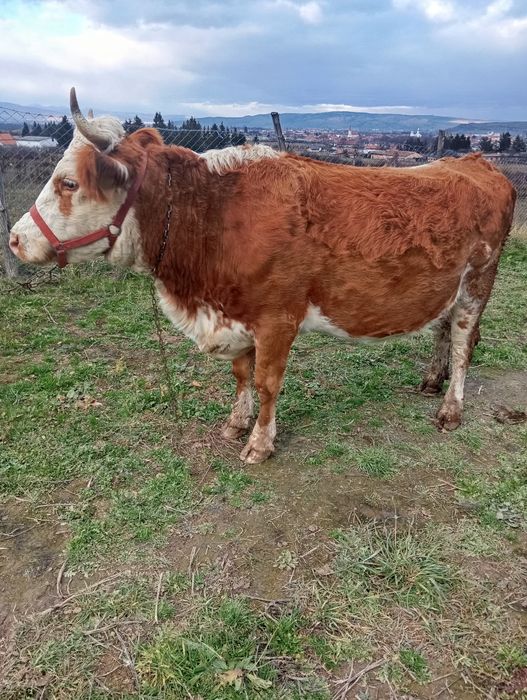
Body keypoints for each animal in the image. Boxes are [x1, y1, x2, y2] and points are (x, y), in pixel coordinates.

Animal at [9, 89, 516, 464]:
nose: (14, 238)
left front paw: (259, 443)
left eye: (69, 183)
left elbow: (266, 382)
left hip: (478, 282)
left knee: (464, 341)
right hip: (446, 286)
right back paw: (431, 380)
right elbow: (240, 375)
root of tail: (473, 163)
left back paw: (450, 408)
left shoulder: (277, 318)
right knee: (443, 330)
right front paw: (236, 424)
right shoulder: (237, 313)